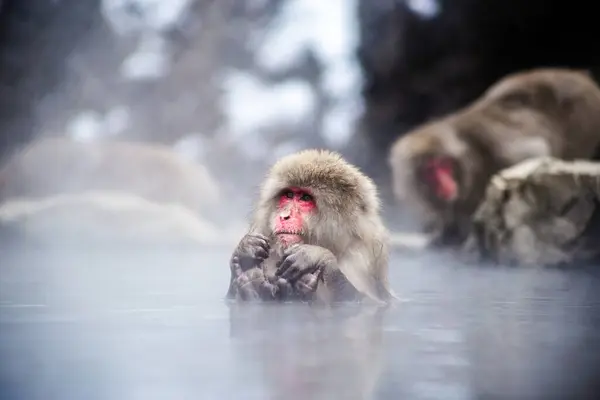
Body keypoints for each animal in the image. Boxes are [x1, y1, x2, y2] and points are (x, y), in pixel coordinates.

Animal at [225, 148, 394, 304]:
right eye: (289, 195)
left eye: (305, 198)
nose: (285, 216)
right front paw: (246, 247)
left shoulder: (363, 255)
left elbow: (373, 303)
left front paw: (318, 257)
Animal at [390, 68, 600, 247]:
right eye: (430, 169)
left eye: (445, 164)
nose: (446, 184)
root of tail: (582, 78)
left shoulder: (497, 147)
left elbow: (535, 153)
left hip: (584, 115)